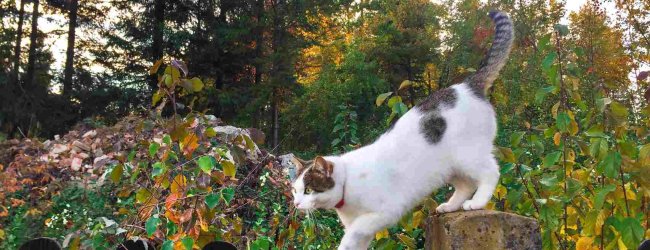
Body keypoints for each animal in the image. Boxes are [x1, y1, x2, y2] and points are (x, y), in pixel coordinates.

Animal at [292, 10, 512, 249]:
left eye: (308, 190)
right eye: (294, 190)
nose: (296, 203)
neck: (347, 184)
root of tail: (466, 85)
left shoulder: (383, 213)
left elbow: (352, 233)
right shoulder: (363, 230)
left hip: (468, 155)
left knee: (491, 172)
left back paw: (477, 202)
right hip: (448, 168)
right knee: (465, 185)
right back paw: (450, 206)